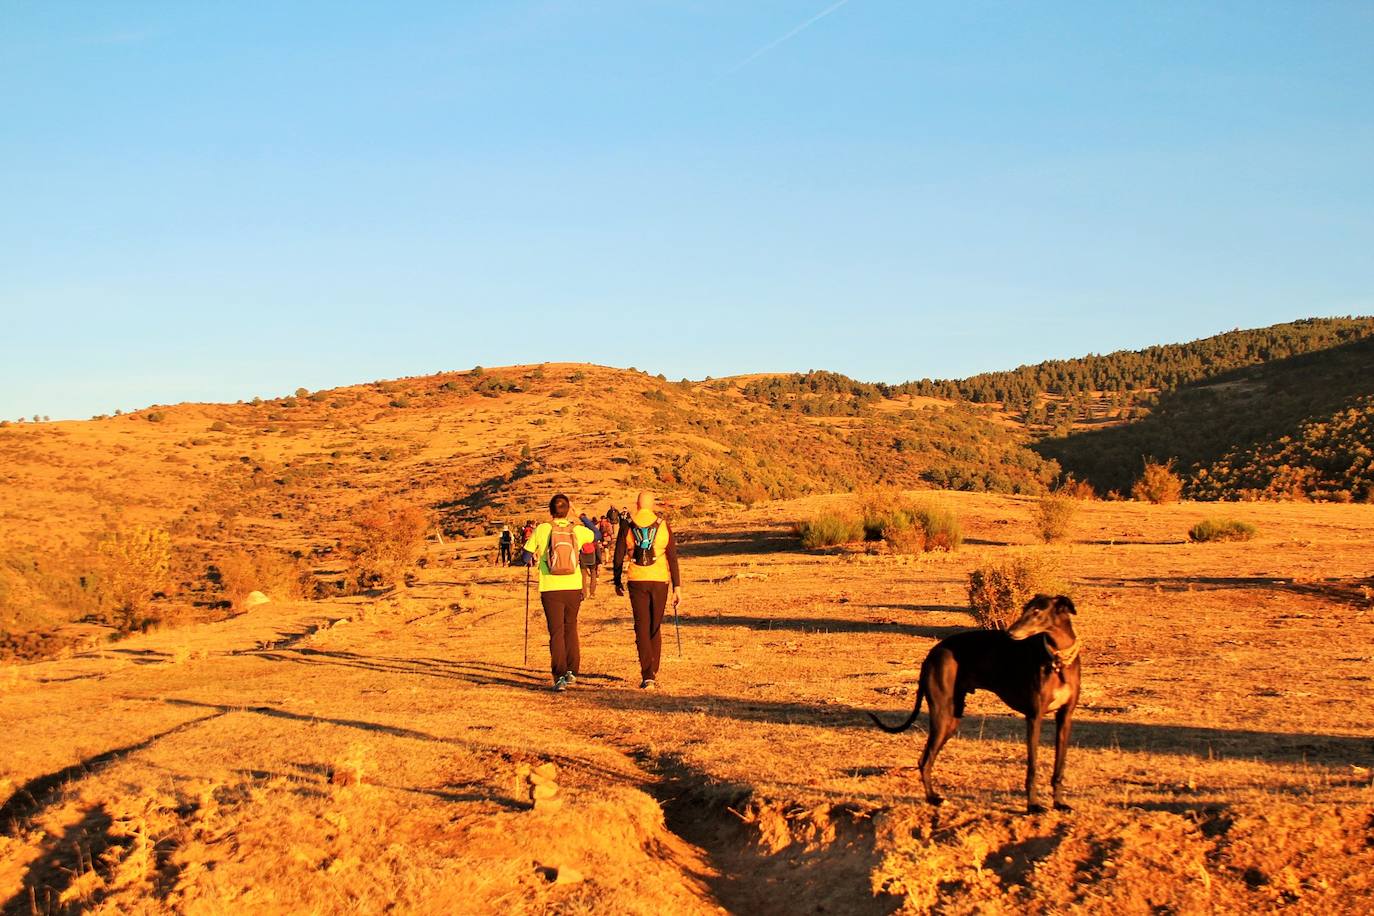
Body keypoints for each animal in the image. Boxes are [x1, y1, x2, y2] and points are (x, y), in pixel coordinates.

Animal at [868, 596, 1082, 818]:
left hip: (952, 719)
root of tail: (932, 653)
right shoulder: (1034, 716)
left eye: (1037, 611)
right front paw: (1033, 806)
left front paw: (1059, 803)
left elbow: (1059, 766)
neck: (1058, 660)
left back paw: (932, 797)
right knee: (924, 760)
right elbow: (1032, 766)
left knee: (925, 758)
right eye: (1026, 609)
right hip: (942, 715)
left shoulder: (1065, 718)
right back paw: (933, 799)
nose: (1010, 633)